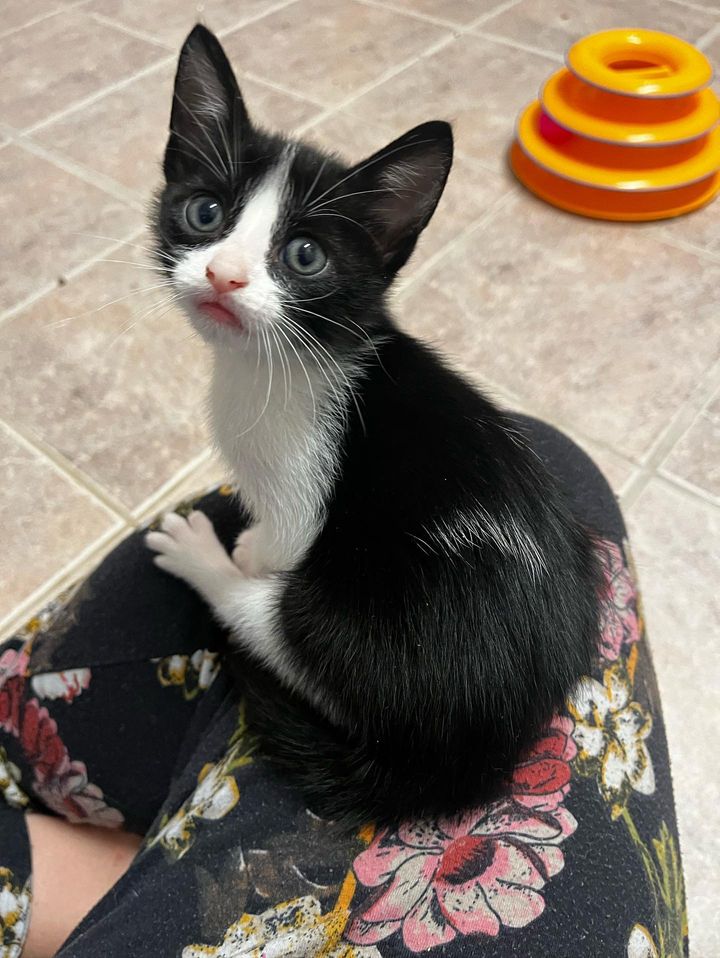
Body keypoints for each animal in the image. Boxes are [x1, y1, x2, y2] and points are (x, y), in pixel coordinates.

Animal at [146, 26, 600, 828]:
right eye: (204, 213)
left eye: (304, 255)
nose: (225, 275)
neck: (286, 361)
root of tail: (476, 755)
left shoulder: (302, 497)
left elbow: (278, 543)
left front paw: (245, 548)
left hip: (347, 617)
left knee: (276, 624)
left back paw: (203, 558)